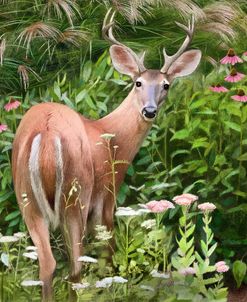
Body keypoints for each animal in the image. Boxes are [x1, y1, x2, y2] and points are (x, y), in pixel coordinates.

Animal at [11, 9, 201, 302]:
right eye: (138, 82)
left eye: (166, 85)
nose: (149, 111)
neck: (110, 134)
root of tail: (47, 132)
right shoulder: (108, 196)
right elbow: (109, 255)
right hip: (76, 194)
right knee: (75, 266)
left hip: (26, 197)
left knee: (48, 263)